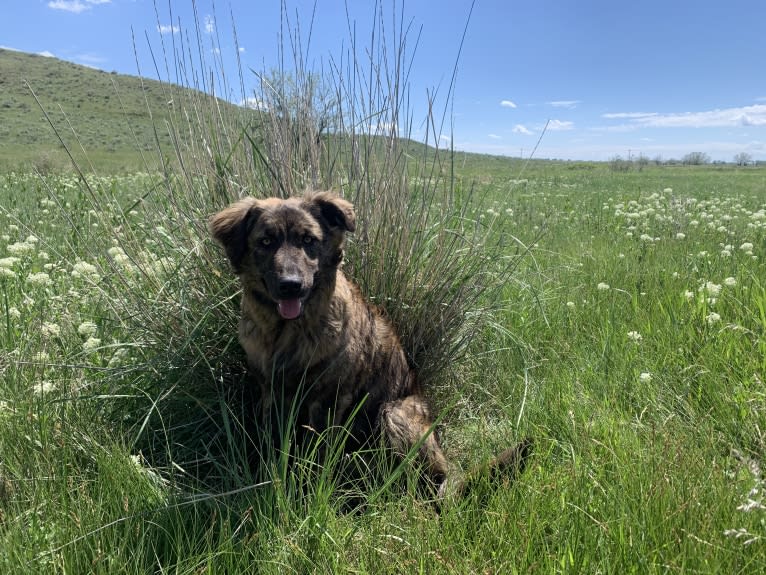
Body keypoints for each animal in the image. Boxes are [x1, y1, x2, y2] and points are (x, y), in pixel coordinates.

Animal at [210, 190, 536, 500]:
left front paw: (306, 490)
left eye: (308, 240)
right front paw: (269, 477)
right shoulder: (271, 392)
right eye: (266, 241)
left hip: (395, 413)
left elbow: (316, 453)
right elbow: (273, 442)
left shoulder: (328, 400)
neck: (287, 333)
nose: (291, 285)